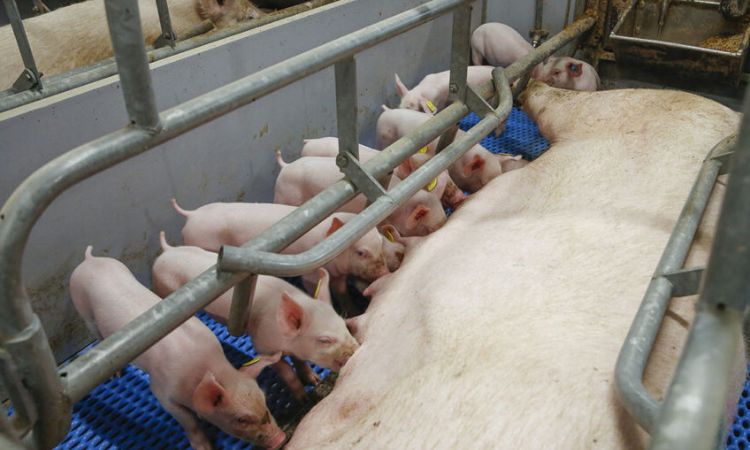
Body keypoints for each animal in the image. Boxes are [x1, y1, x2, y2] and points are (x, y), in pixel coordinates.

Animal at [70, 246, 285, 450]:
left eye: (265, 402)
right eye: (241, 419)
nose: (281, 439)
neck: (203, 366)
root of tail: (90, 260)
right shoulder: (162, 391)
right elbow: (189, 421)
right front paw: (205, 447)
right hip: (84, 311)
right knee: (97, 335)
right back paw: (117, 374)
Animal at [152, 235, 359, 401]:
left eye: (343, 324)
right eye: (324, 340)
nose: (356, 349)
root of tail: (168, 251)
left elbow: (300, 361)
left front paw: (314, 380)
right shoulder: (262, 344)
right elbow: (286, 371)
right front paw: (303, 399)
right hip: (162, 289)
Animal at [171, 200, 389, 293]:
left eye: (381, 244)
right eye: (361, 252)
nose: (386, 272)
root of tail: (192, 214)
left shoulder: (339, 275)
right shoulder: (311, 275)